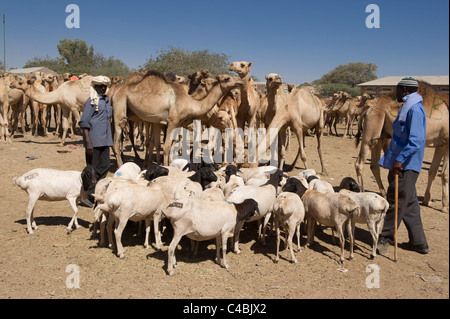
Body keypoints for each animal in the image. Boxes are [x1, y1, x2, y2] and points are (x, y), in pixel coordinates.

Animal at [110, 70, 243, 168]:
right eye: (227, 78)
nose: (240, 81)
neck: (189, 101)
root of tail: (114, 94)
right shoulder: (172, 121)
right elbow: (167, 147)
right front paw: (166, 167)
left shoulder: (172, 122)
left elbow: (169, 144)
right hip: (120, 108)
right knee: (116, 140)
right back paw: (121, 165)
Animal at [356, 82, 448, 215]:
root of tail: (368, 109)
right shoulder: (447, 141)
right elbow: (445, 173)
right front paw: (445, 206)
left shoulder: (441, 144)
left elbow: (432, 171)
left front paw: (427, 200)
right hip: (370, 135)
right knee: (359, 164)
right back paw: (362, 194)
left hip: (380, 136)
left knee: (374, 165)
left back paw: (384, 194)